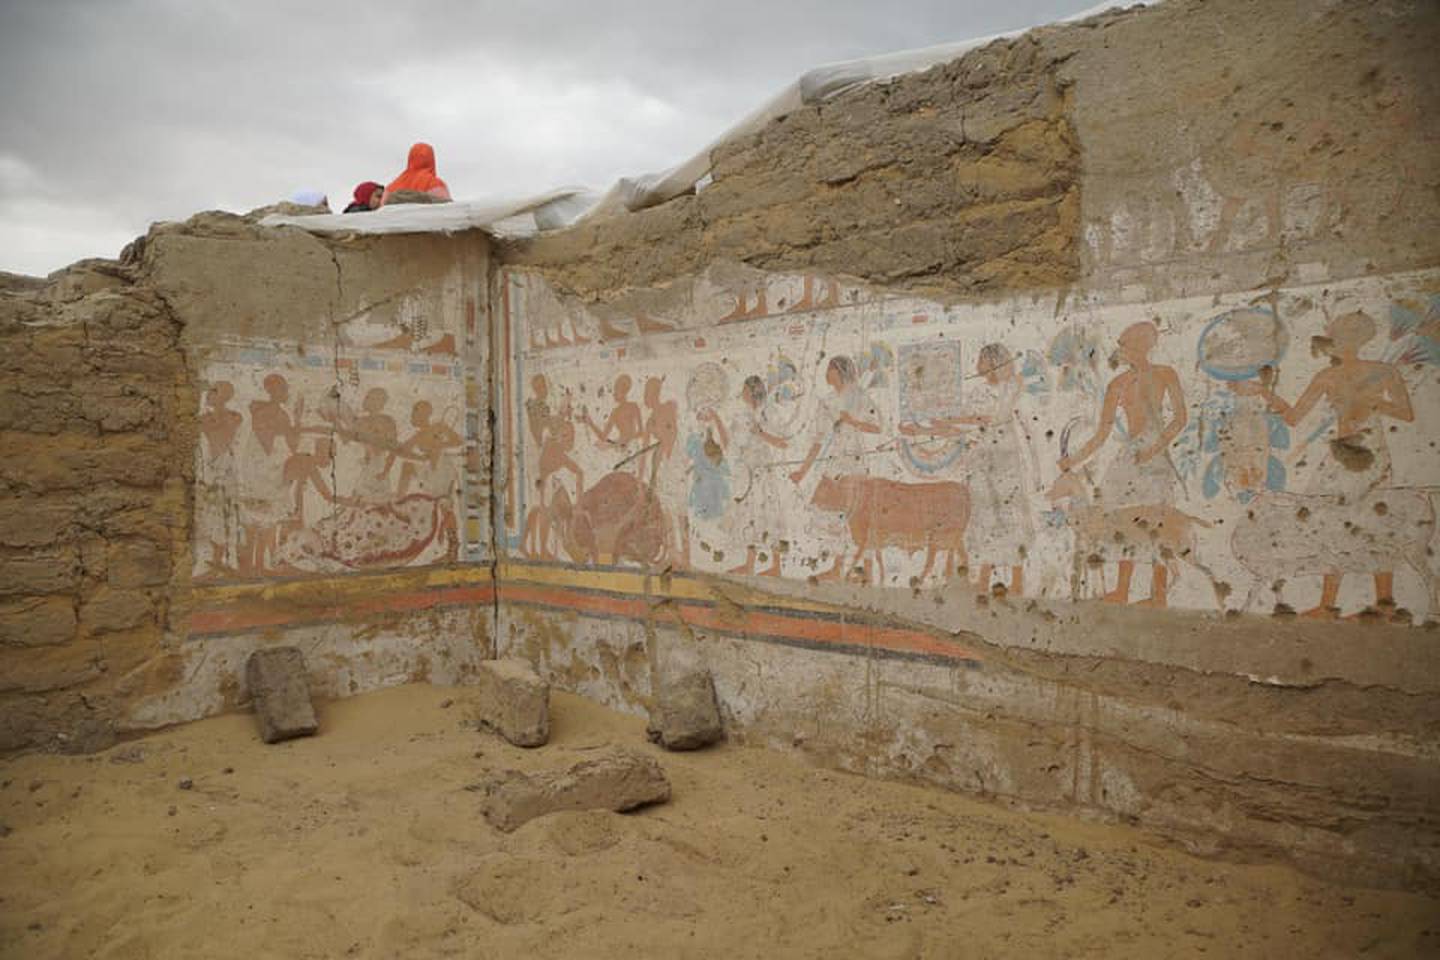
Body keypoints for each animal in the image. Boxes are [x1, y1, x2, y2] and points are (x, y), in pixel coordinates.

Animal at [812, 474, 967, 587]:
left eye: (822, 489)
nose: (812, 501)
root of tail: (963, 491)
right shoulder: (874, 542)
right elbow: (875, 561)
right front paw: (876, 581)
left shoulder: (865, 539)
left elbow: (860, 559)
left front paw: (851, 577)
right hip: (953, 541)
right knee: (960, 559)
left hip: (937, 539)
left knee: (934, 562)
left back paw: (921, 582)